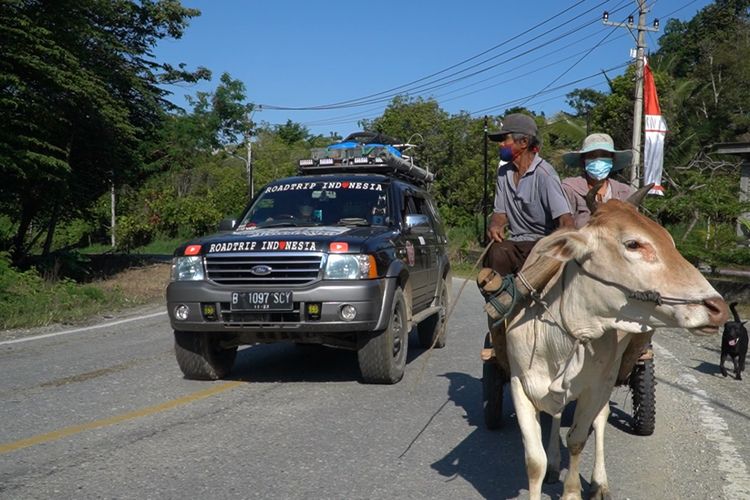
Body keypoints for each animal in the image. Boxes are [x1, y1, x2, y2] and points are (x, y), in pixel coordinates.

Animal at [506, 199, 728, 500]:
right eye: (633, 244)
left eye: (670, 242)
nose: (718, 308)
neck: (560, 338)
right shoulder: (519, 382)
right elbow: (534, 461)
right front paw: (547, 466)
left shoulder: (597, 387)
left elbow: (577, 440)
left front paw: (573, 491)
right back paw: (554, 464)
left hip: (611, 376)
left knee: (600, 421)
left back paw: (599, 482)